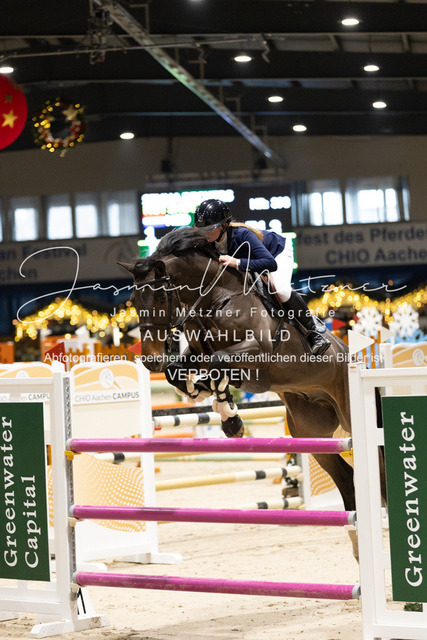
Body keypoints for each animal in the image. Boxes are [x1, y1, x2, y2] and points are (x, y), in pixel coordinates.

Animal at [119, 225, 358, 552]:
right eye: (132, 300)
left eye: (159, 300)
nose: (150, 360)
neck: (215, 298)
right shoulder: (195, 353)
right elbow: (179, 371)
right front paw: (218, 406)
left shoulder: (257, 355)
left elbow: (218, 362)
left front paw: (222, 406)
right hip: (312, 431)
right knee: (345, 476)